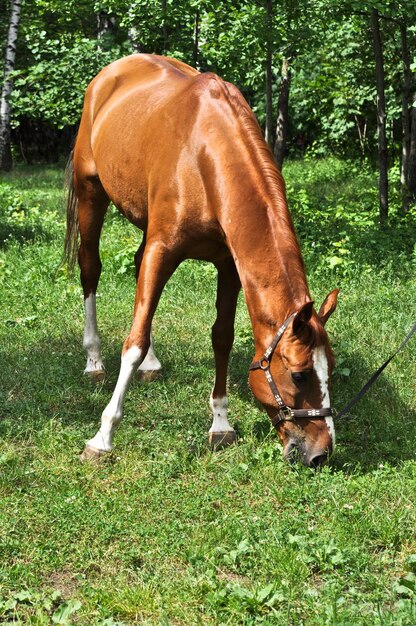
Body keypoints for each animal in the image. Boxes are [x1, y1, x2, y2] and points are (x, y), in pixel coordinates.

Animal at [64, 53, 338, 466]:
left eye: (331, 369)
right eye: (300, 374)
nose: (321, 453)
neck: (205, 156)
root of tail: (110, 74)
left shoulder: (228, 266)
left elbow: (221, 337)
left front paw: (221, 424)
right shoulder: (163, 249)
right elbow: (133, 341)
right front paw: (102, 436)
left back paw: (151, 364)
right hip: (90, 192)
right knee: (90, 268)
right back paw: (93, 360)